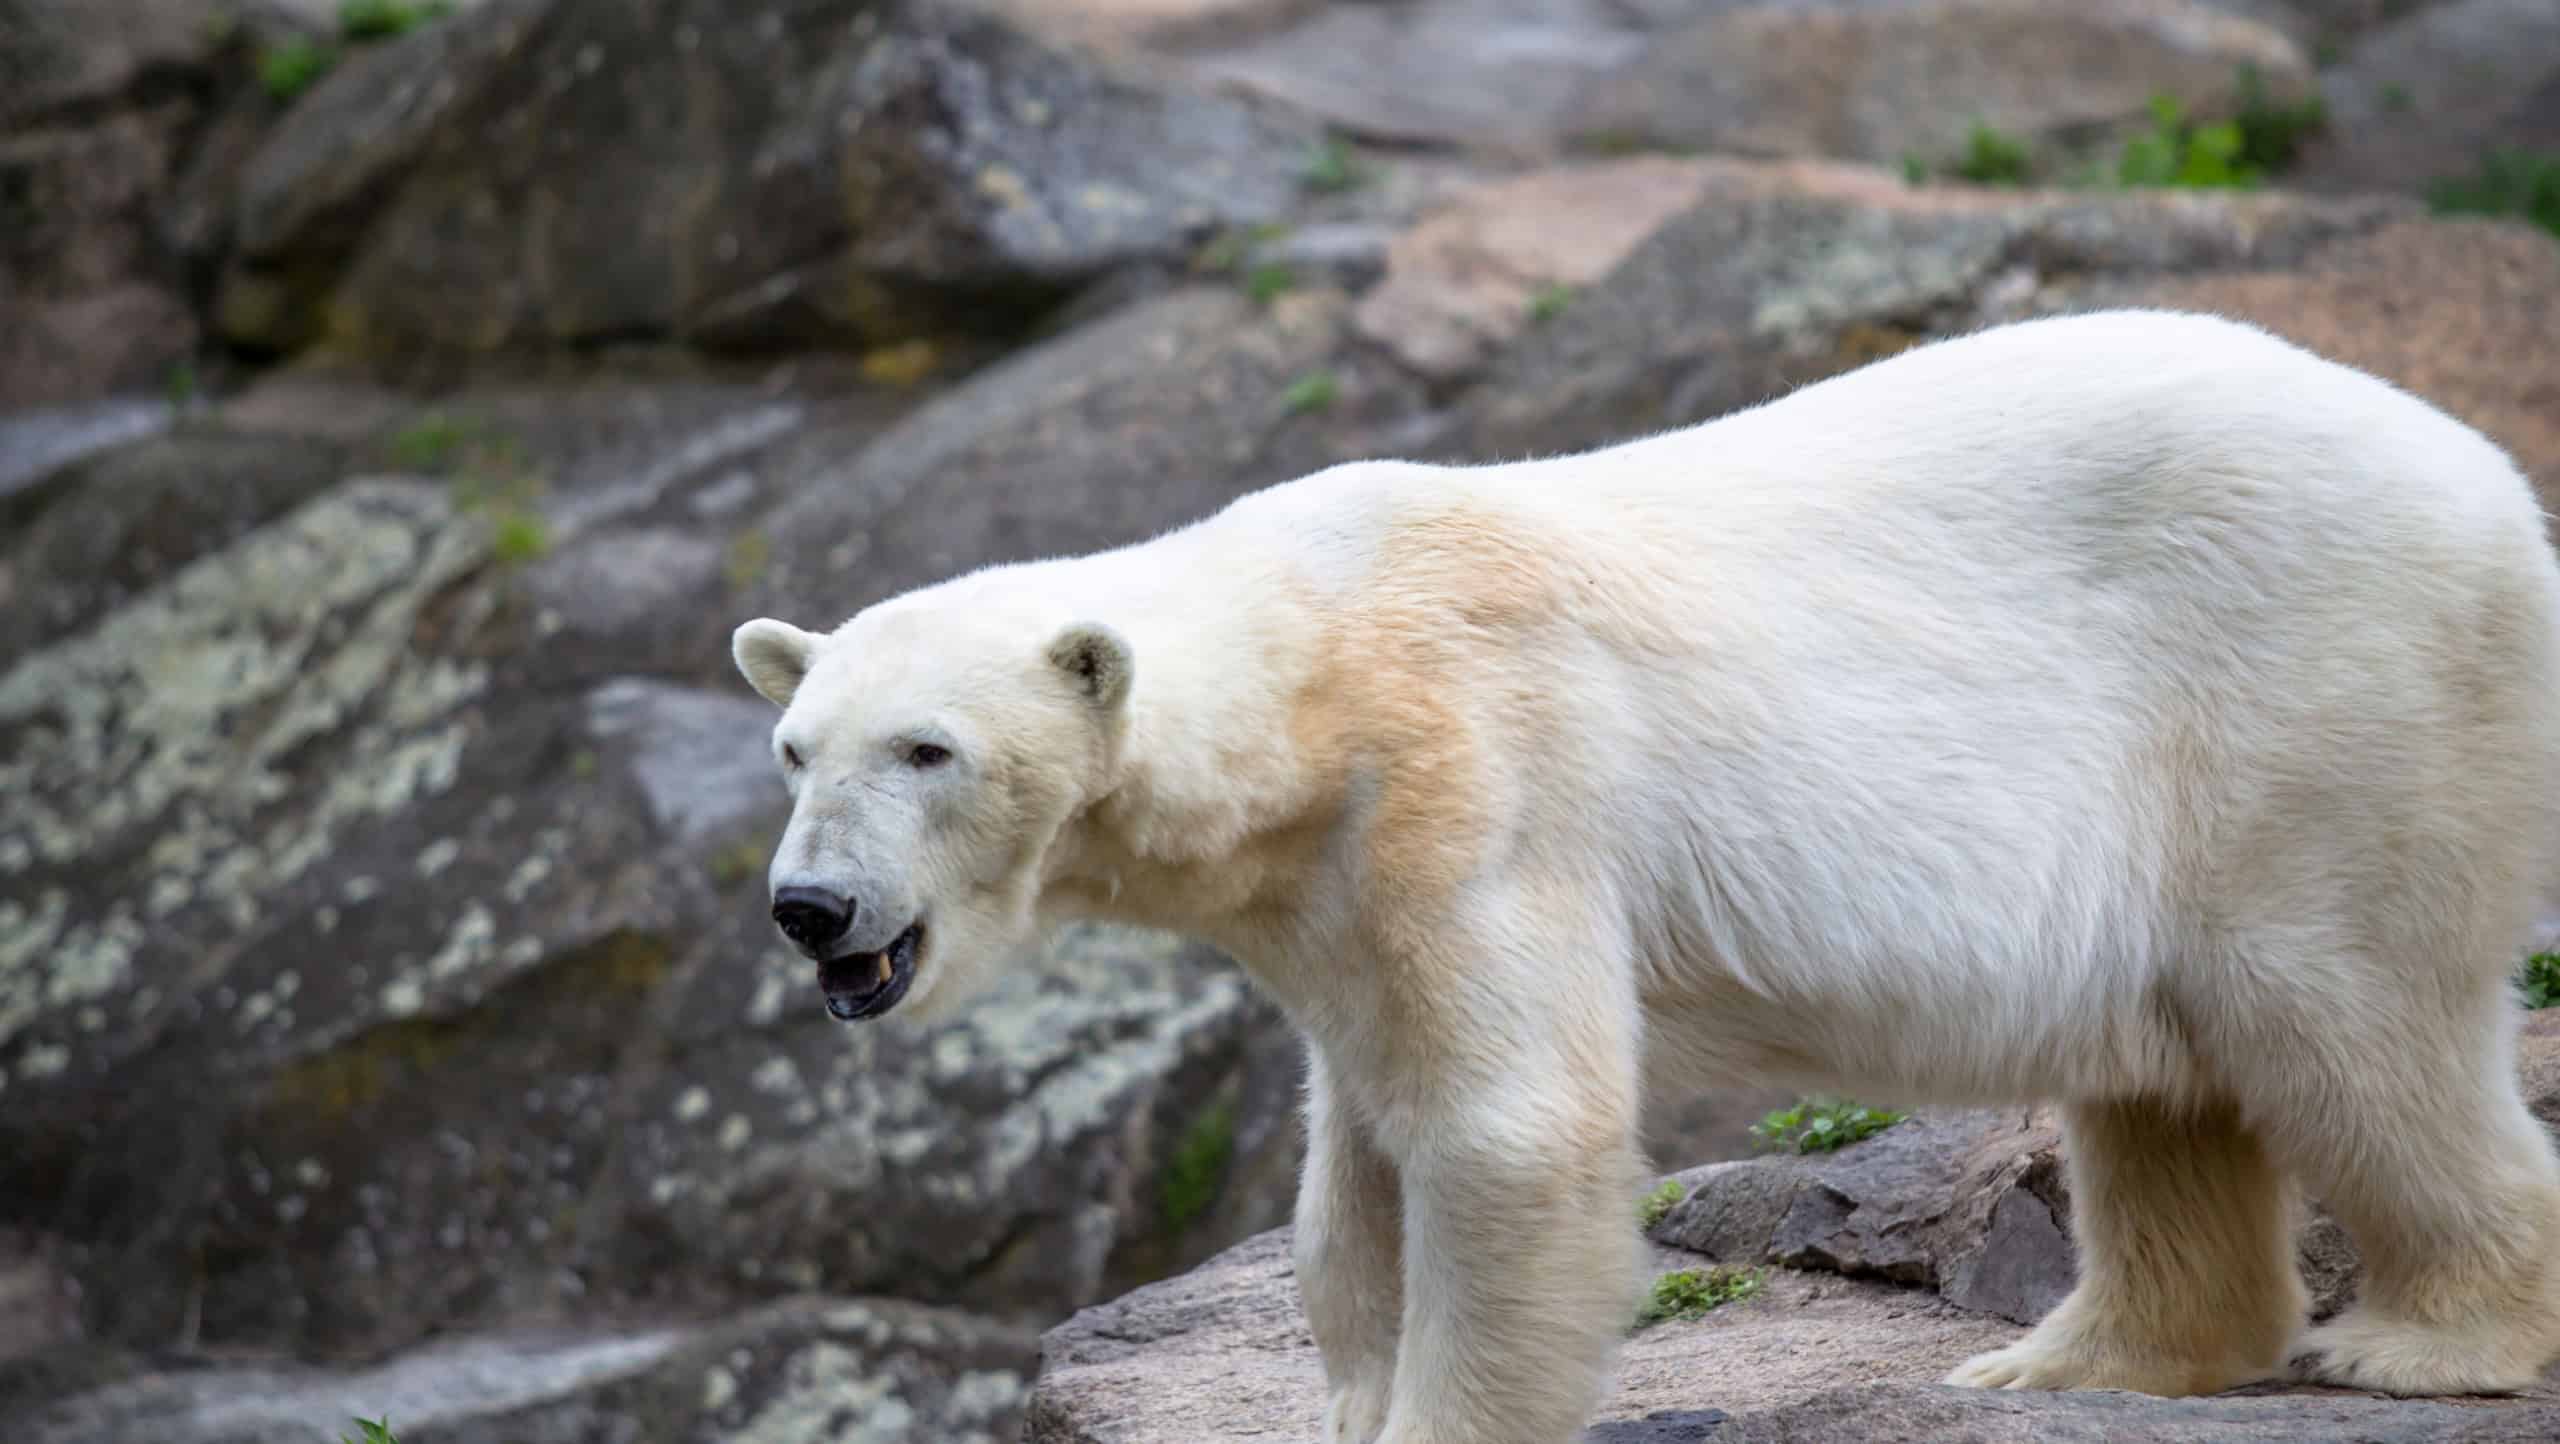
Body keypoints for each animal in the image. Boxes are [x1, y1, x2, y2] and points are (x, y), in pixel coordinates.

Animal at [729, 307, 2560, 1444]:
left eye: (930, 750)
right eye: (797, 747)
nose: (810, 909)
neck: (1317, 657)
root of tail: (2491, 484)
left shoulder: (1475, 782)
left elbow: (1505, 1129)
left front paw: (1437, 1414)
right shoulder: (1333, 891)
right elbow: (1358, 1159)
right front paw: (1352, 1391)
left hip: (2311, 694)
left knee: (2334, 1011)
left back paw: (2423, 1336)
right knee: (2165, 1072)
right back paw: (2067, 1355)